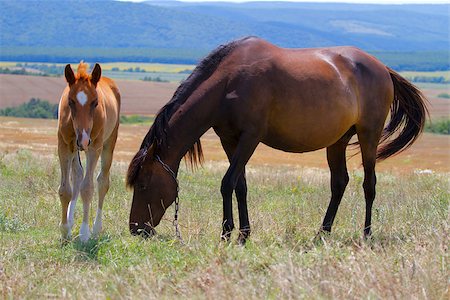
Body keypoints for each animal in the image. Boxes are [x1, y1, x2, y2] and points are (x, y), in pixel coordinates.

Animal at [58, 61, 121, 241]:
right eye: (70, 102)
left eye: (95, 102)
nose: (84, 139)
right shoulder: (64, 145)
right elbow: (65, 189)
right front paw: (64, 230)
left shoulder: (94, 147)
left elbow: (87, 188)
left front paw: (84, 232)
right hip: (75, 149)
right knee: (77, 175)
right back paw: (71, 223)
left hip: (108, 143)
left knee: (102, 182)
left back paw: (96, 228)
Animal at [125, 37, 426, 244]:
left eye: (143, 184)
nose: (136, 229)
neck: (228, 83)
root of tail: (382, 67)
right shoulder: (229, 139)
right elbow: (240, 185)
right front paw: (243, 234)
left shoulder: (250, 137)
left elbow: (227, 183)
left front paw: (226, 234)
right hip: (338, 141)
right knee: (339, 183)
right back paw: (322, 234)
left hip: (368, 135)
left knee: (369, 184)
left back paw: (366, 235)